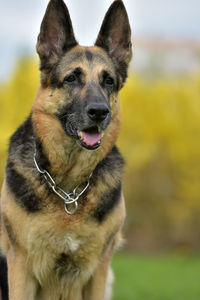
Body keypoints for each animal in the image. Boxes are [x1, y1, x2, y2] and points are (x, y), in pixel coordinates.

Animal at [0, 1, 131, 298]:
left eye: (108, 81)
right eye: (71, 78)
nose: (99, 112)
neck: (68, 188)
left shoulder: (98, 271)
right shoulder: (20, 266)